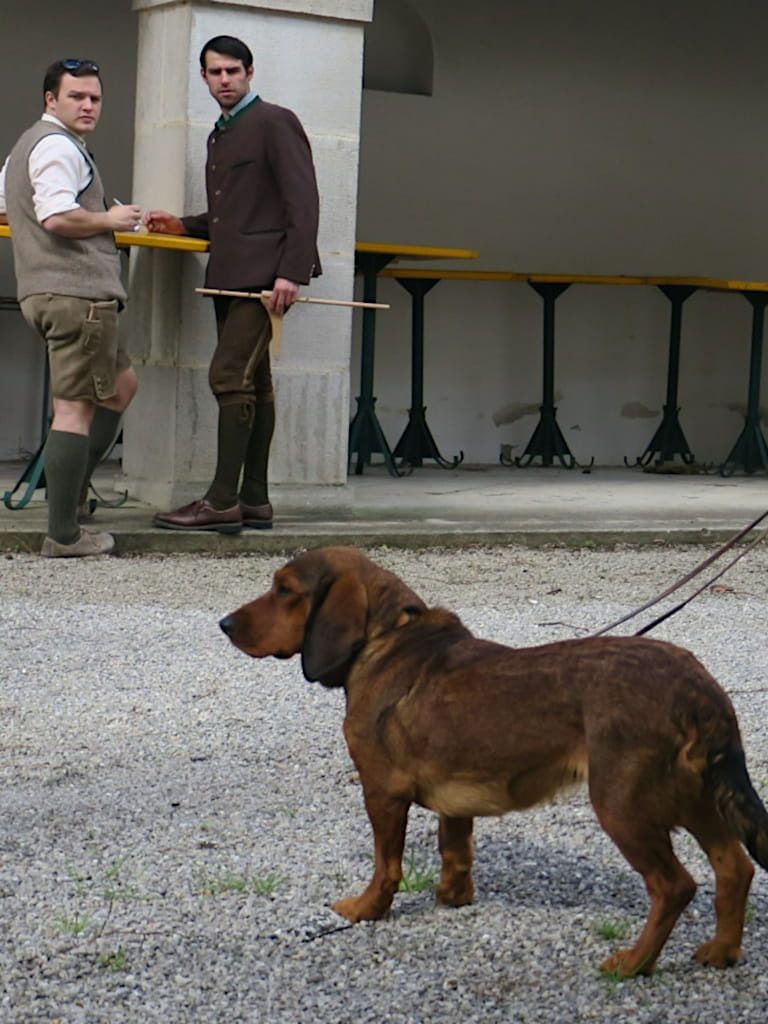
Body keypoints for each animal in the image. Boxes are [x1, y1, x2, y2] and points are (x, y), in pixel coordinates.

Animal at [221, 544, 768, 974]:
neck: (385, 641)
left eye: (285, 589)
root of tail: (702, 690)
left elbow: (386, 865)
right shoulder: (455, 801)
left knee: (674, 886)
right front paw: (452, 899)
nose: (223, 624)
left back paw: (634, 964)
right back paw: (722, 951)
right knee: (735, 869)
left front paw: (366, 909)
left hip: (625, 808)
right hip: (698, 800)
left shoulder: (381, 793)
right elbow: (455, 851)